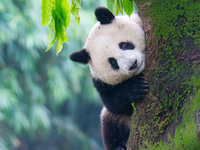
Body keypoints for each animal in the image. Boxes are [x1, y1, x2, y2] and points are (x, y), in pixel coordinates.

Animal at [69, 7, 148, 150]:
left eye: (124, 45)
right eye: (113, 62)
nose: (133, 64)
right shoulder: (101, 83)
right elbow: (113, 103)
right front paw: (136, 88)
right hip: (113, 121)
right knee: (110, 126)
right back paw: (120, 145)